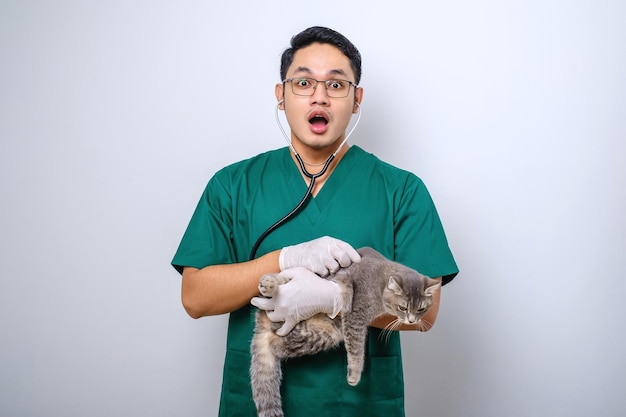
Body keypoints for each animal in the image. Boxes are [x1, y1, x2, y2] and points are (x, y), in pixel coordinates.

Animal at [249, 247, 438, 416]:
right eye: (403, 307)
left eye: (421, 309)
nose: (412, 321)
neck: (379, 282)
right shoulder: (356, 316)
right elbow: (356, 350)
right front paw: (354, 374)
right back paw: (270, 284)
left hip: (325, 335)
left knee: (277, 343)